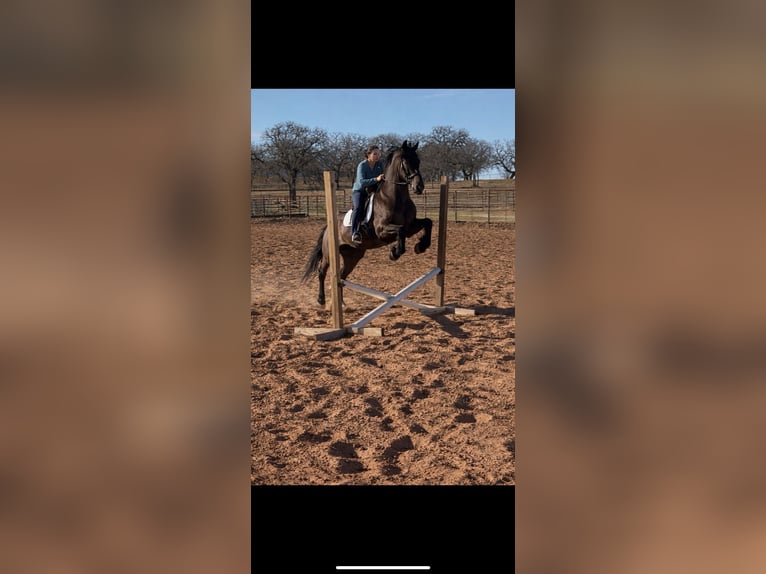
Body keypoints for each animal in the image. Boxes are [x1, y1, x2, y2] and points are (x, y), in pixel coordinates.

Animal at [301, 140, 432, 307]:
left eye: (418, 161)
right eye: (406, 162)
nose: (419, 187)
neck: (396, 198)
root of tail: (328, 227)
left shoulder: (411, 226)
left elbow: (427, 223)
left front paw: (421, 246)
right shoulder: (382, 230)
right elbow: (400, 231)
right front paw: (394, 253)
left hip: (353, 256)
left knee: (342, 276)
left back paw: (341, 303)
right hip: (329, 254)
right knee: (322, 272)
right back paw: (321, 300)